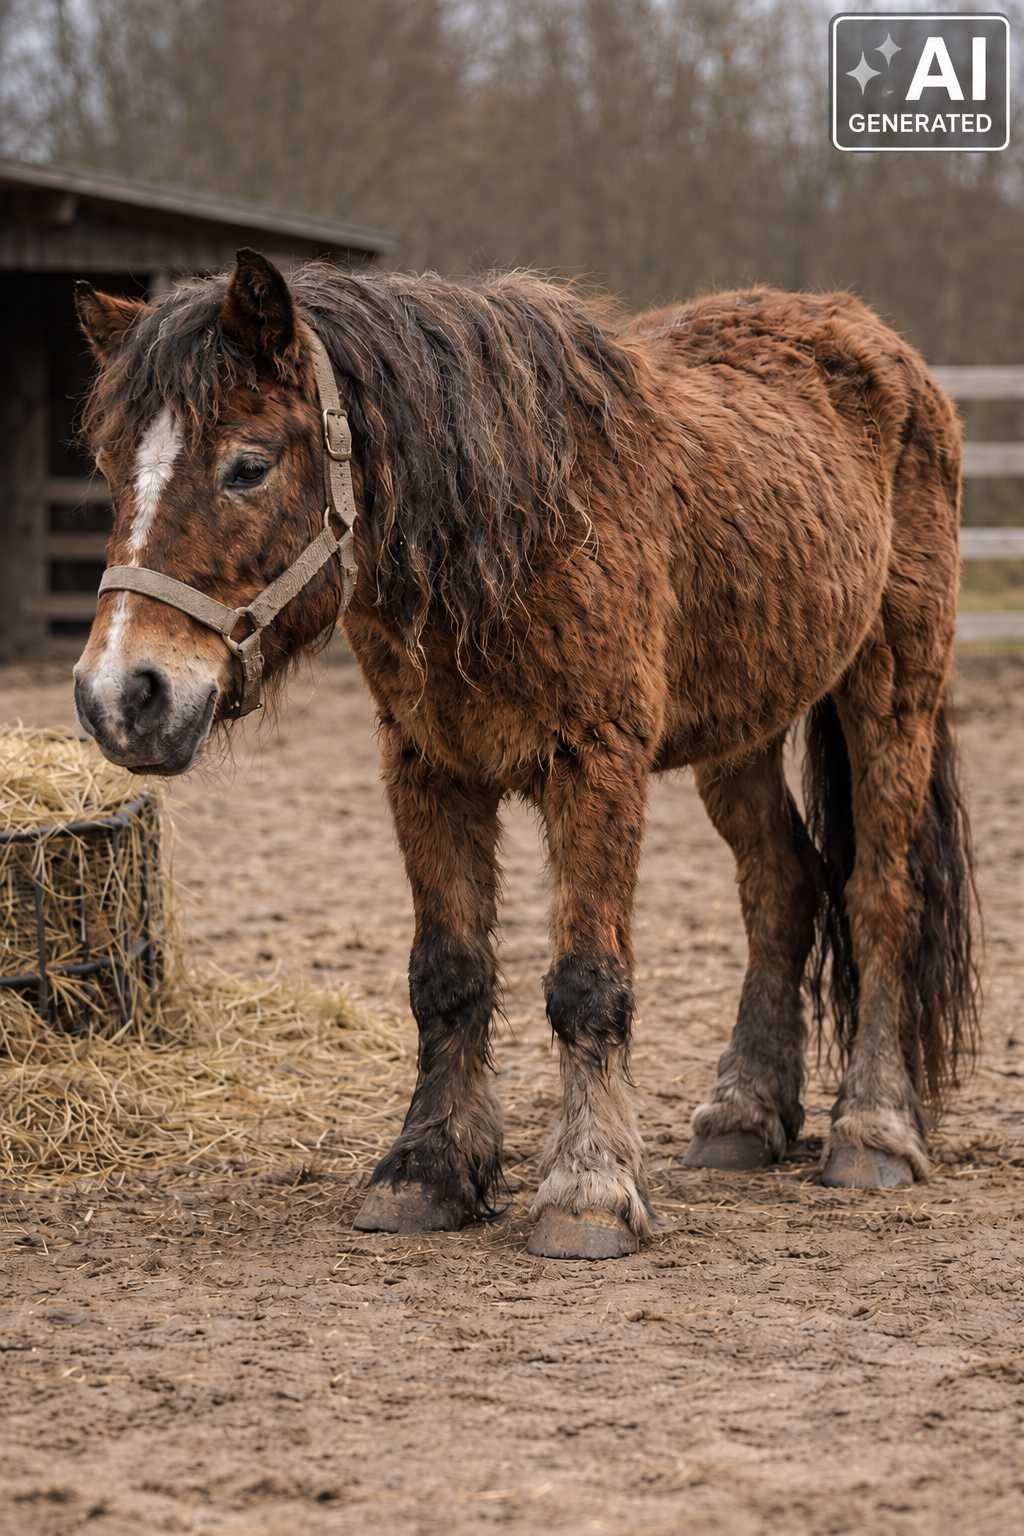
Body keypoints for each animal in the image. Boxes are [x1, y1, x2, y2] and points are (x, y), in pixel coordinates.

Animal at [72, 250, 979, 1260]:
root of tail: (877, 342)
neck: (518, 523)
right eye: (109, 467)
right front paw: (427, 1172)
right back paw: (743, 1118)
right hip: (743, 728)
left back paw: (874, 1131)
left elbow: (587, 983)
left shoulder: (597, 767)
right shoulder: (426, 767)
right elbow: (447, 975)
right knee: (781, 888)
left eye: (247, 466)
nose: (122, 696)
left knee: (878, 896)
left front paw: (589, 1192)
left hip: (891, 690)